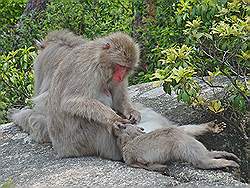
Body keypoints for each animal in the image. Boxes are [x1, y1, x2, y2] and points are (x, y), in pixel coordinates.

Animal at [9, 30, 142, 159]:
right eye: (120, 66)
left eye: (126, 68)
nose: (120, 77)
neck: (100, 60)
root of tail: (62, 151)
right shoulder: (88, 69)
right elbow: (70, 101)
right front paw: (114, 118)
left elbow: (118, 99)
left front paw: (132, 113)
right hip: (79, 140)